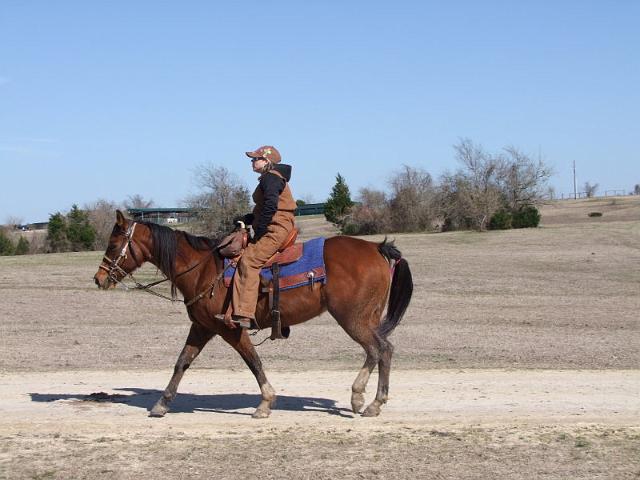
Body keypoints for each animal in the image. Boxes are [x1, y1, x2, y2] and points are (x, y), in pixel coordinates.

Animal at [93, 210, 413, 418]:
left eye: (113, 243)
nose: (99, 279)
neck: (203, 269)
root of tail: (376, 247)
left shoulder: (231, 329)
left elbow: (253, 361)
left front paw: (265, 403)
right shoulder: (202, 327)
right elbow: (182, 362)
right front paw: (162, 403)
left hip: (353, 319)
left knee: (378, 349)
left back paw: (365, 400)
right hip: (367, 318)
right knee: (383, 350)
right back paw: (369, 401)